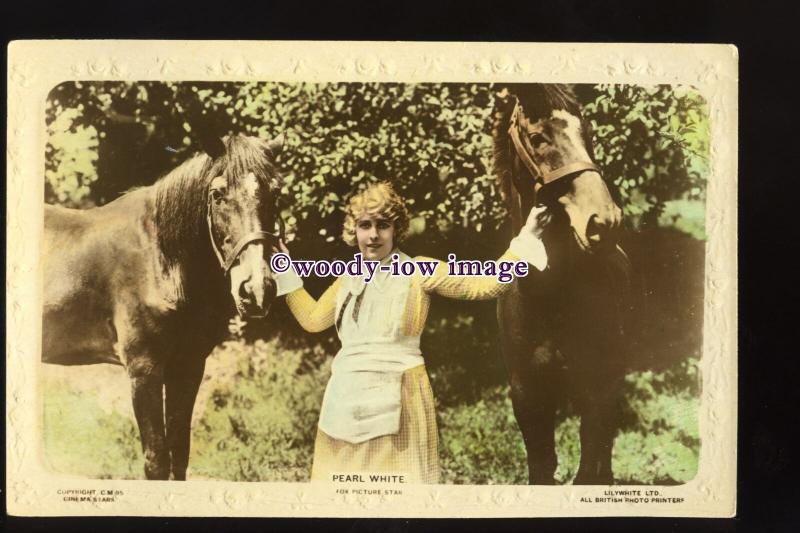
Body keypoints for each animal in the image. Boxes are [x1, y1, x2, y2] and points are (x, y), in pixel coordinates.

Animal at [42, 132, 288, 478]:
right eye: (217, 194)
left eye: (276, 192)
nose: (256, 289)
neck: (159, 261)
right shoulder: (144, 370)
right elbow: (156, 460)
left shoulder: (188, 367)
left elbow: (179, 454)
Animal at [490, 84, 636, 486]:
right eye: (539, 137)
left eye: (588, 134)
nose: (604, 221)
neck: (550, 297)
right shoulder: (526, 393)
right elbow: (542, 467)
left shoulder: (597, 387)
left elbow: (589, 466)